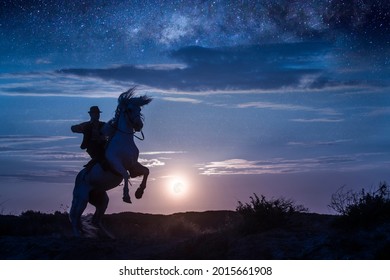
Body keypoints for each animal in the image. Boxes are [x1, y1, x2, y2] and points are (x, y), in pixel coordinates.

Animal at [69, 88, 152, 237]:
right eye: (129, 109)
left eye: (139, 109)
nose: (139, 125)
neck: (124, 141)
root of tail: (79, 177)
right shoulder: (117, 164)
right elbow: (125, 175)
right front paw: (126, 196)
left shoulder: (133, 165)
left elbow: (146, 171)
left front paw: (139, 193)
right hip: (82, 198)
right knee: (74, 216)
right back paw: (78, 235)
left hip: (101, 200)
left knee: (95, 220)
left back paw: (109, 236)